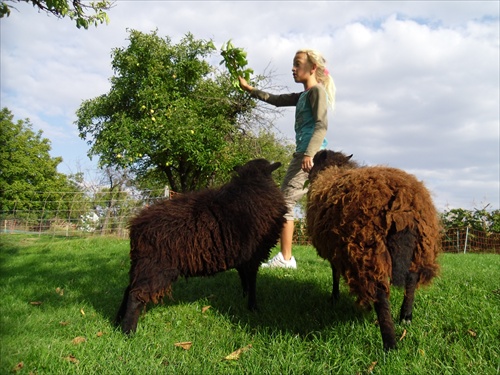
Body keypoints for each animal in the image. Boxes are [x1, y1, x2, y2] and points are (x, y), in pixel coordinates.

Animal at [114, 159, 286, 334]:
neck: (253, 185)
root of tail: (136, 227)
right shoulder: (253, 255)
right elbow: (252, 282)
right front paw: (253, 307)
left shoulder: (242, 256)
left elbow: (244, 278)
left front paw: (244, 297)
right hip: (156, 266)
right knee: (135, 295)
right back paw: (128, 331)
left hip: (142, 264)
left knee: (128, 290)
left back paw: (117, 323)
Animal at [304, 151, 442, 352]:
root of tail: (402, 204)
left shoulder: (335, 251)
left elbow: (335, 274)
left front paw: (334, 297)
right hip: (422, 245)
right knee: (411, 278)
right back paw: (406, 317)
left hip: (368, 247)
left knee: (380, 294)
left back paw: (390, 344)